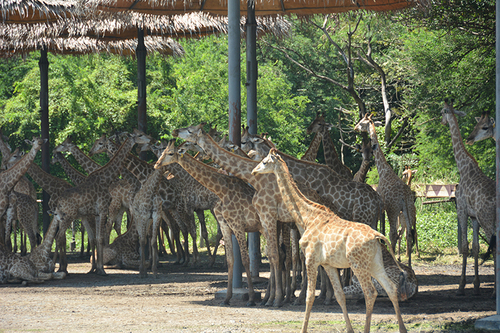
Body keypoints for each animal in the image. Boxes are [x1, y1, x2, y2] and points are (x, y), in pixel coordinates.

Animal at [155, 139, 266, 304]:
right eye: (161, 152)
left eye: (170, 153)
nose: (156, 164)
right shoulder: (223, 223)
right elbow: (230, 258)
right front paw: (227, 298)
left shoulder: (236, 224)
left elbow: (244, 259)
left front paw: (251, 297)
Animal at [252, 149, 408, 332]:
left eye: (264, 162)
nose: (254, 171)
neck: (306, 217)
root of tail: (377, 236)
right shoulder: (328, 264)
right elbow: (339, 296)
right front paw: (349, 329)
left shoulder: (311, 259)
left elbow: (309, 296)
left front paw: (303, 329)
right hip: (375, 263)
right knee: (390, 287)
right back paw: (402, 328)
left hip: (358, 264)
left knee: (370, 292)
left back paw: (367, 329)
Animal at [354, 114, 416, 268]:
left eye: (362, 122)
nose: (355, 127)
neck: (383, 170)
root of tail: (404, 195)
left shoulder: (384, 206)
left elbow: (382, 229)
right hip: (408, 210)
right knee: (409, 234)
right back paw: (409, 264)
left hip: (394, 209)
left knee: (393, 233)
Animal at [440, 98, 494, 294]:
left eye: (443, 112)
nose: (442, 122)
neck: (463, 167)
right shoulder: (474, 217)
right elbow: (476, 248)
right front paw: (476, 285)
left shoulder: (462, 210)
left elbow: (464, 247)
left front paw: (461, 285)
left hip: (488, 220)